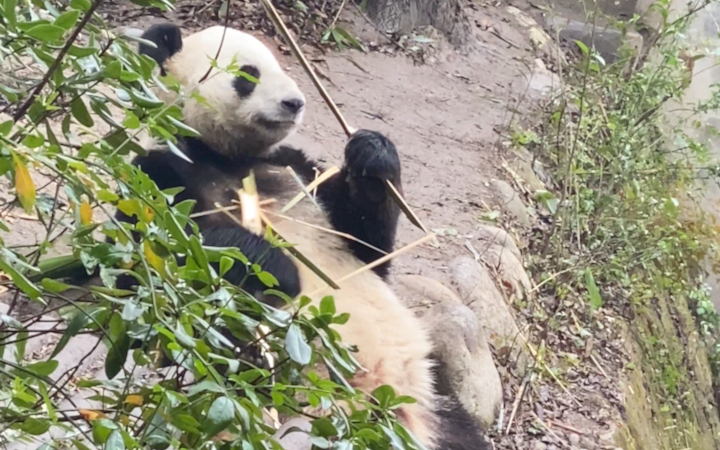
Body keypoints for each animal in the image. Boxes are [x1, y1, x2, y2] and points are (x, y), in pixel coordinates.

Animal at [114, 22, 490, 450]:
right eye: (248, 74)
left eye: (282, 67)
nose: (294, 102)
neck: (228, 155)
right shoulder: (161, 172)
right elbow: (140, 268)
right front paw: (272, 262)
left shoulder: (297, 168)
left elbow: (368, 246)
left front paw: (372, 155)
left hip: (427, 392)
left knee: (459, 429)